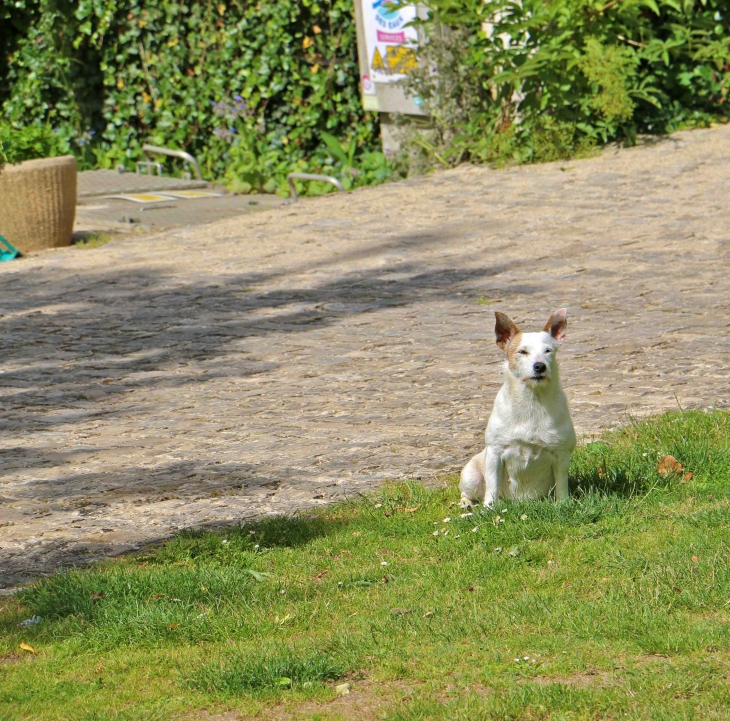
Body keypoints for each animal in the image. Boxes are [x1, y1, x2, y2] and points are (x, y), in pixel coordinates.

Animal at [460, 308, 576, 506]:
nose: (540, 366)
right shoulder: (495, 453)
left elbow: (561, 484)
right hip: (471, 477)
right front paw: (490, 508)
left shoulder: (561, 454)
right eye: (522, 352)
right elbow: (492, 485)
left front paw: (563, 504)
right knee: (470, 492)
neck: (532, 400)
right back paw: (467, 505)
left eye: (548, 351)